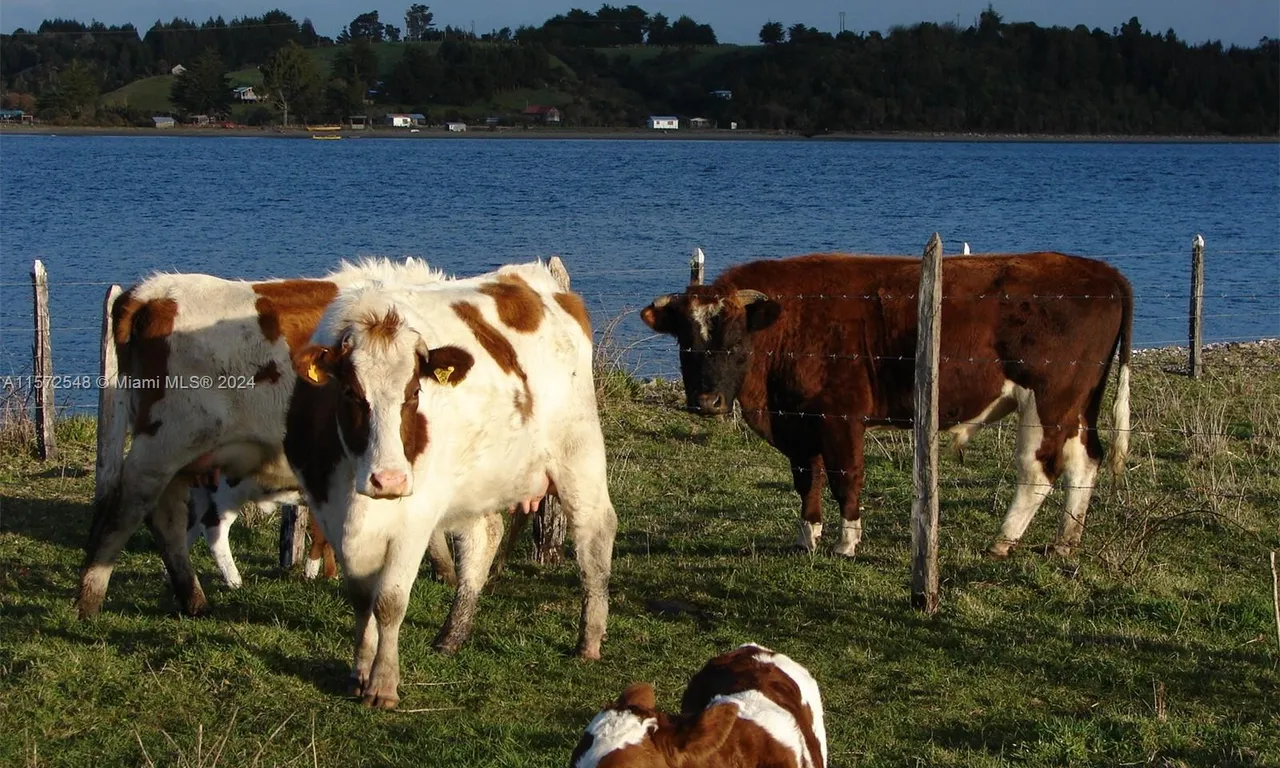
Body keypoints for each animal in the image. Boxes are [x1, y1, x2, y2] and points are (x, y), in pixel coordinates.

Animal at [77, 258, 450, 616]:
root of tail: (150, 292)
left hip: (181, 456)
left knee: (166, 518)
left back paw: (193, 599)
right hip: (163, 444)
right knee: (127, 509)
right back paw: (89, 599)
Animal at [288, 258, 616, 706]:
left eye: (413, 392)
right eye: (352, 394)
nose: (389, 479)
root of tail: (532, 280)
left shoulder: (415, 516)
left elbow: (389, 601)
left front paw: (383, 684)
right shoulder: (332, 513)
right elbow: (360, 600)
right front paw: (359, 673)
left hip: (578, 452)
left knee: (594, 534)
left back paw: (589, 640)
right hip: (475, 480)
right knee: (485, 536)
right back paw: (452, 634)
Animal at [645, 252, 1136, 558]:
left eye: (734, 341)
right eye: (686, 343)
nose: (706, 402)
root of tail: (1101, 271)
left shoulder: (840, 416)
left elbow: (845, 477)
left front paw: (846, 542)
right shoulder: (798, 422)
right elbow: (807, 479)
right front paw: (807, 536)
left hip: (1046, 401)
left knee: (1039, 471)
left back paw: (1002, 541)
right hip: (1078, 405)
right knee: (1084, 461)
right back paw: (1065, 541)